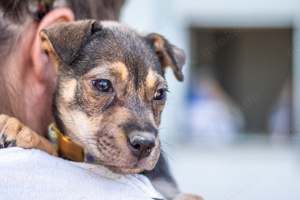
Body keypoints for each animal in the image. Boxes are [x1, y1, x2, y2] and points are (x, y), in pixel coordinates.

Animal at [0, 20, 202, 200]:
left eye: (160, 94)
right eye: (103, 85)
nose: (144, 145)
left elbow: (191, 196)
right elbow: (51, 147)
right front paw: (19, 128)